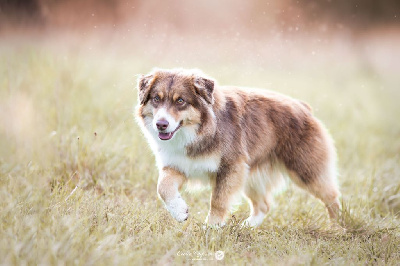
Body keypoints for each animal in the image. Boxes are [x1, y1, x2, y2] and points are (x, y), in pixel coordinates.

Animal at [135, 68, 340, 227]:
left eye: (180, 101)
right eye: (156, 98)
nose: (161, 124)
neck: (199, 131)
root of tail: (303, 107)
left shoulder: (231, 167)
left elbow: (218, 201)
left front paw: (211, 229)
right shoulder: (177, 165)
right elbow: (163, 188)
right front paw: (180, 212)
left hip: (306, 170)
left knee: (331, 196)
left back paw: (337, 227)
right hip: (251, 174)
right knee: (263, 205)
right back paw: (246, 227)